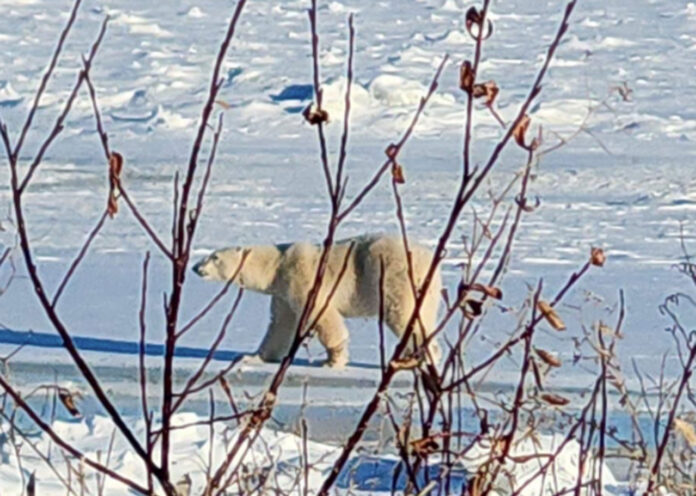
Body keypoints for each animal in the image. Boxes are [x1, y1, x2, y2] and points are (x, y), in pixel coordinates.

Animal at [192, 235, 442, 369]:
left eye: (214, 257)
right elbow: (280, 326)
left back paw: (423, 358)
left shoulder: (302, 278)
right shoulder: (282, 293)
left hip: (395, 277)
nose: (195, 267)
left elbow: (323, 316)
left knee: (402, 315)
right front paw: (252, 357)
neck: (277, 264)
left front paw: (333, 361)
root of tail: (428, 258)